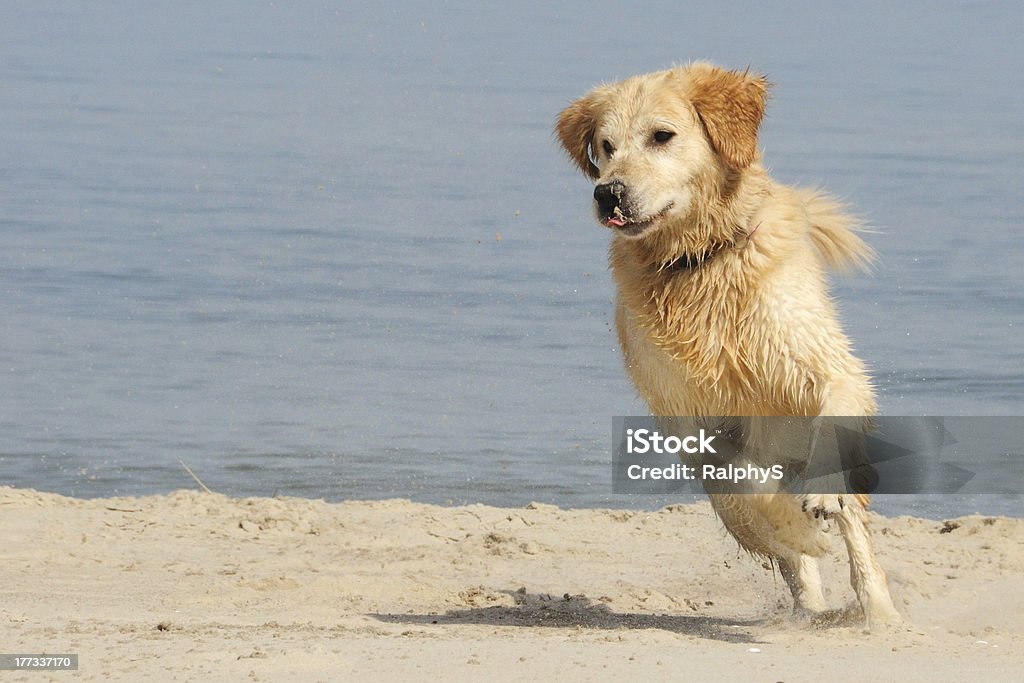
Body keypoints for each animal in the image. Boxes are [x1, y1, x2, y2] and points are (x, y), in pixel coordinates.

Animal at [557, 61, 901, 626]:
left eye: (662, 136)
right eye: (605, 146)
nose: (608, 193)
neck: (701, 259)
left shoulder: (827, 367)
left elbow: (831, 420)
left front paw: (817, 507)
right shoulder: (686, 414)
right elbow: (747, 487)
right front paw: (796, 530)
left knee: (856, 537)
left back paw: (879, 614)